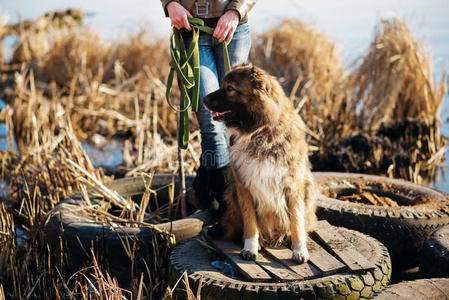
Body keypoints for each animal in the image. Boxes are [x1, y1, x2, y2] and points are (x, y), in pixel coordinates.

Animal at [201, 63, 316, 262]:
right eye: (223, 85)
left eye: (230, 88)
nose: (203, 99)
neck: (259, 131)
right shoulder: (244, 186)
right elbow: (250, 222)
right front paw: (250, 247)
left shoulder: (292, 186)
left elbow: (296, 221)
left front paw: (299, 250)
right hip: (232, 192)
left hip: (308, 188)